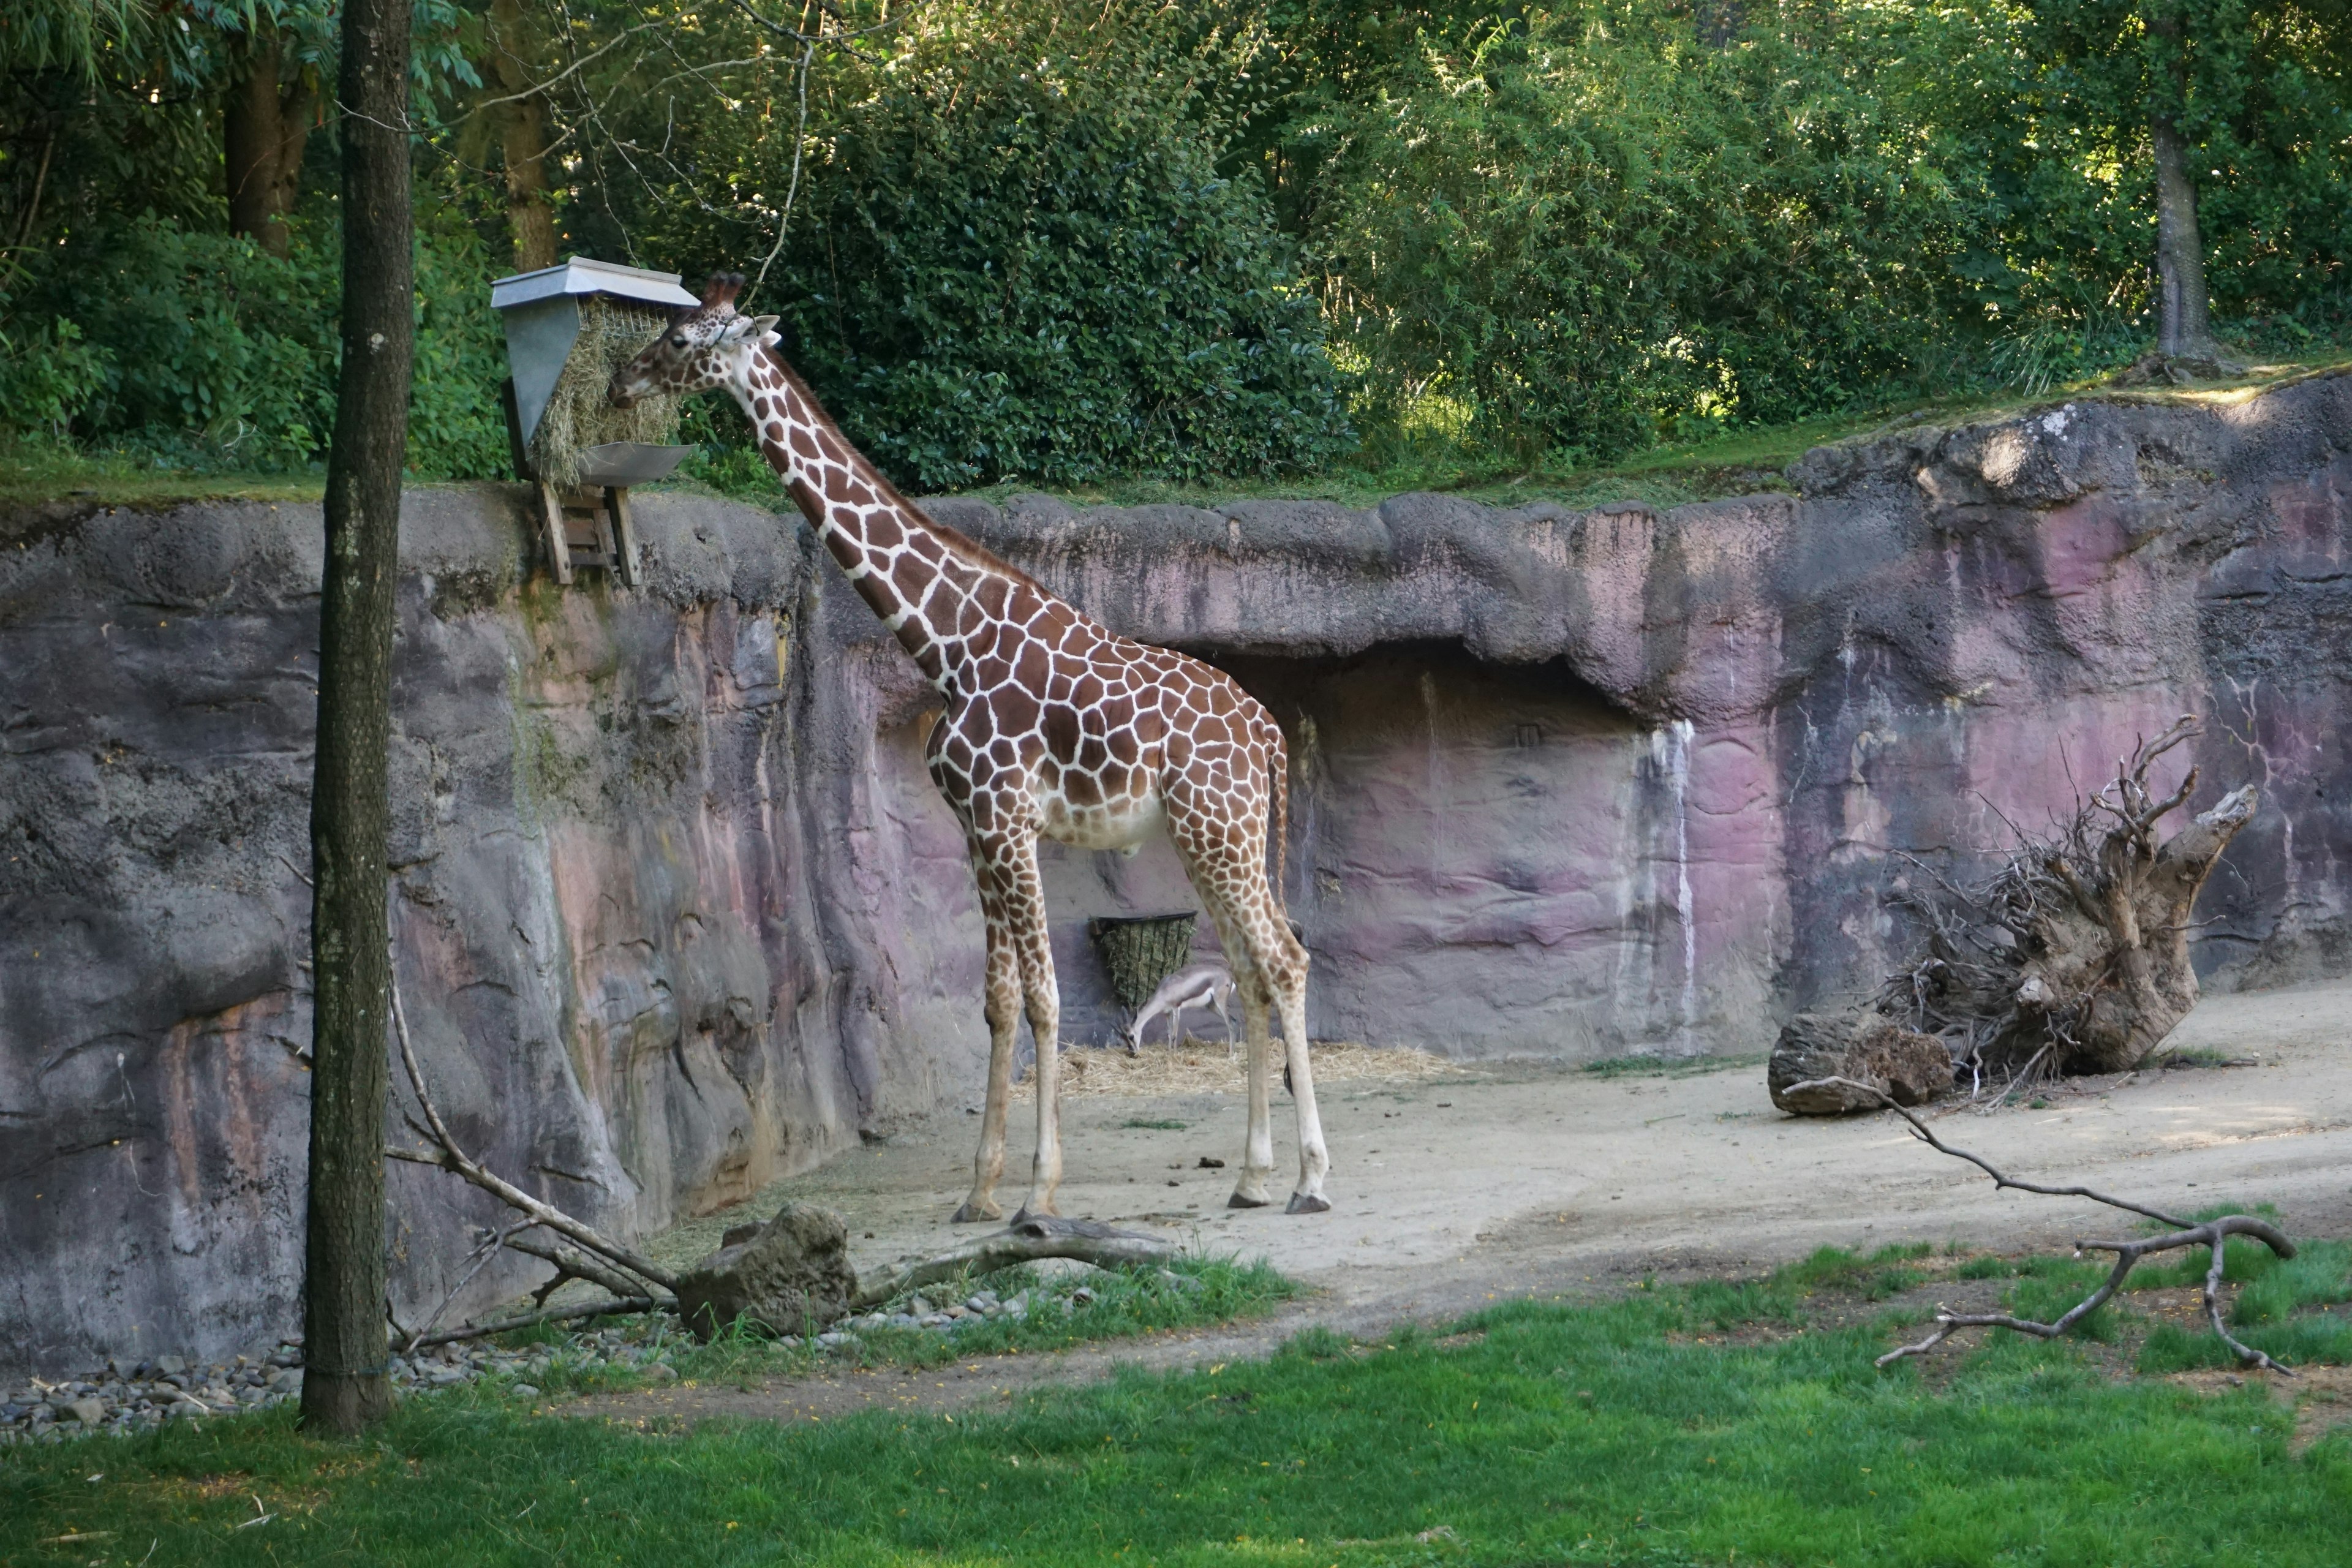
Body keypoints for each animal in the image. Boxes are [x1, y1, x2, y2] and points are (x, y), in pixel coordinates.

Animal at [606, 276, 1336, 1222]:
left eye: (682, 336)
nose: (620, 379)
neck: (946, 642)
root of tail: (1268, 733)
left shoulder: (1007, 819)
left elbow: (1045, 998)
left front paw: (1038, 1192)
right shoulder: (976, 831)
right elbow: (997, 1001)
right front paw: (980, 1193)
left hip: (1220, 832)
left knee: (1284, 959)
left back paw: (1311, 1181)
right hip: (1208, 837)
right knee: (1250, 971)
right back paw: (1251, 1178)